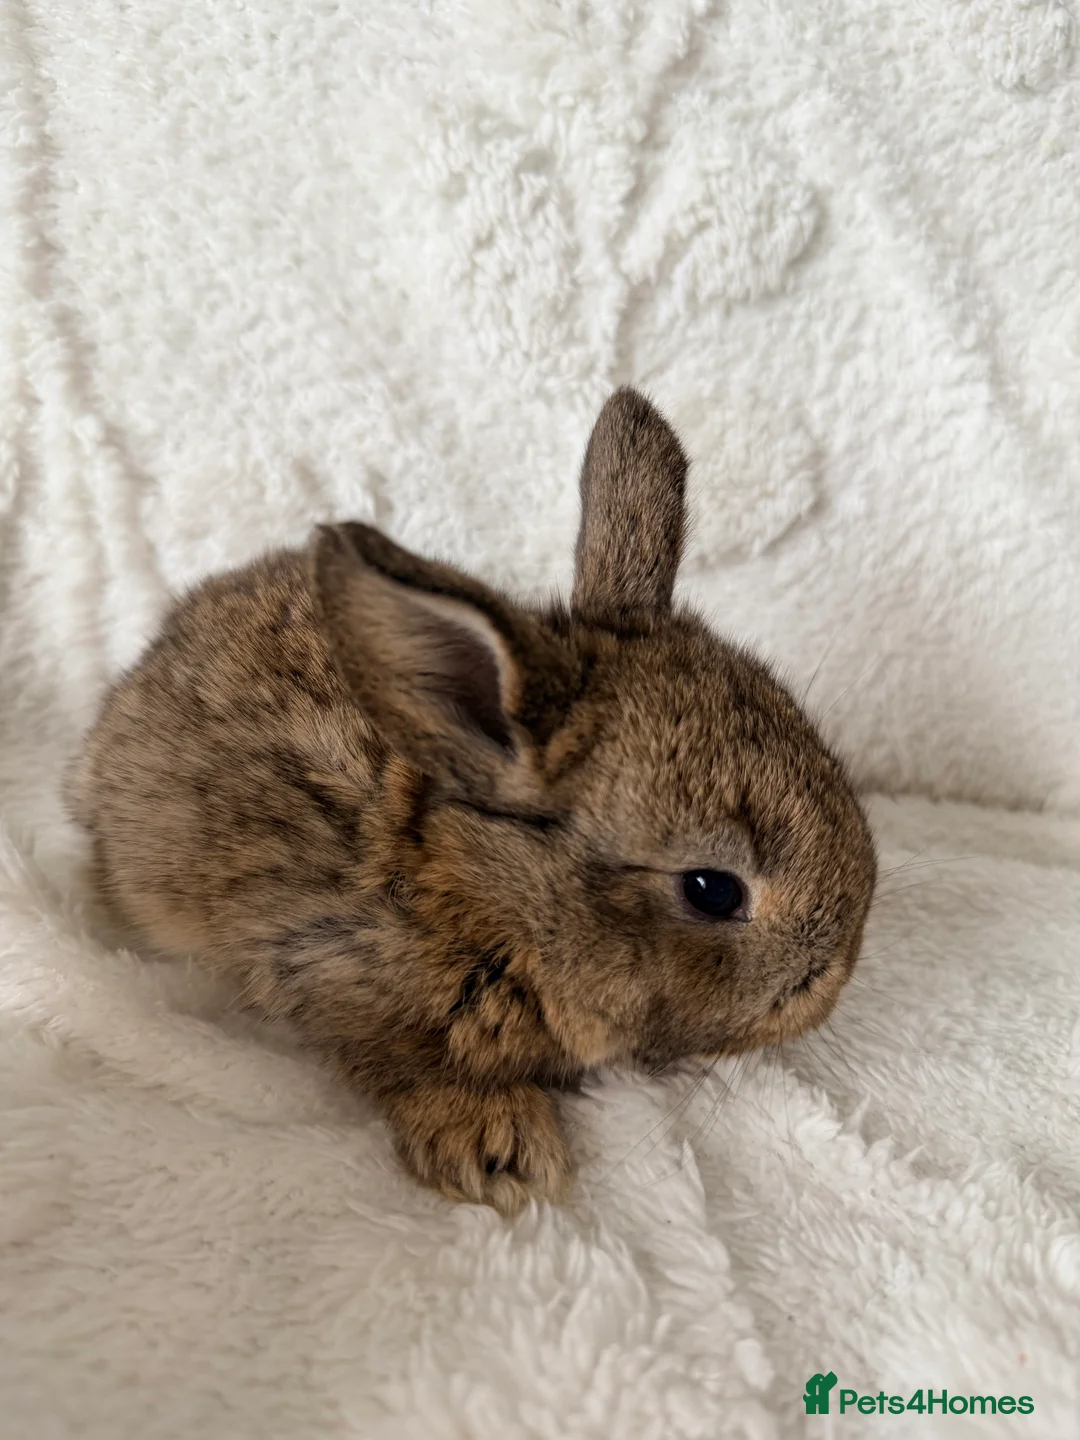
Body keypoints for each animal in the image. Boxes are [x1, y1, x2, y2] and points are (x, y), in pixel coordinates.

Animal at [67, 388, 877, 1214]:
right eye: (713, 890)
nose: (831, 981)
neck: (474, 889)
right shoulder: (334, 976)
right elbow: (408, 1065)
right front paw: (502, 1152)